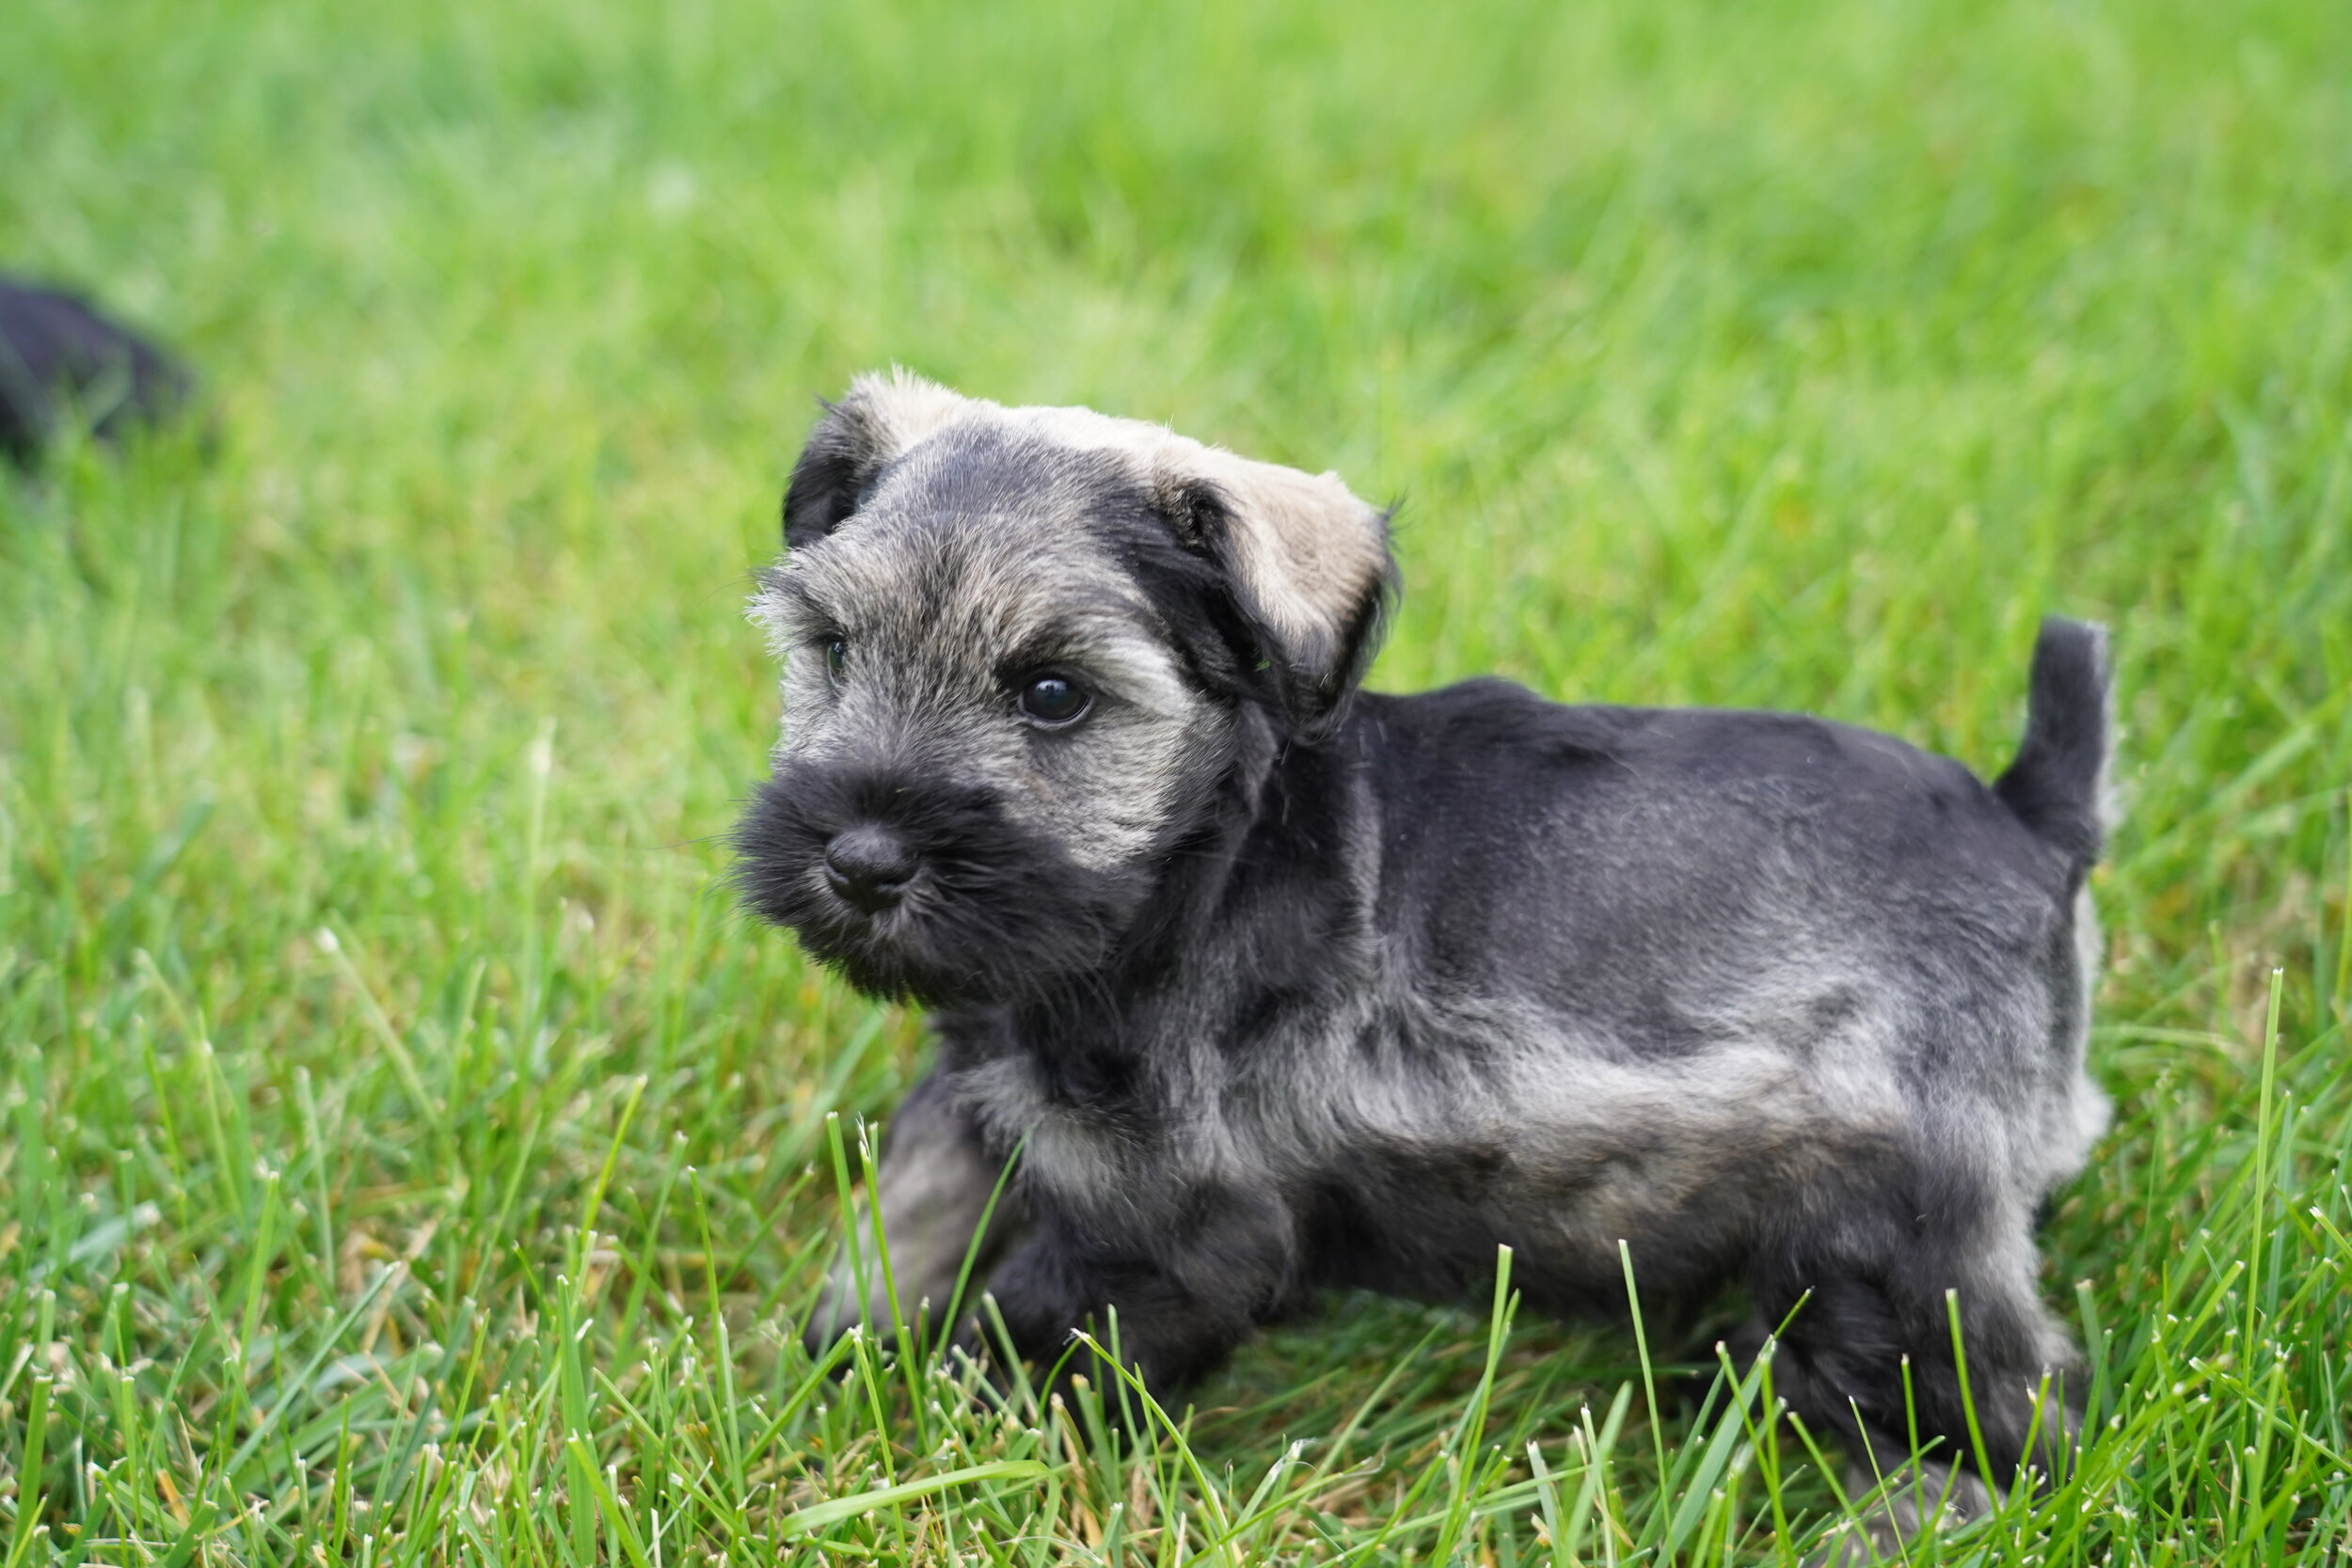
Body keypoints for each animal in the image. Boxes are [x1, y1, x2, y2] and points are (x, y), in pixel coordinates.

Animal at [734, 371, 2117, 1560]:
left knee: (2021, 1422)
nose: (860, 859)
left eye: (1056, 692)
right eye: (834, 646)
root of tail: (2033, 820)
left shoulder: (1170, 1227)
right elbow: (906, 1222)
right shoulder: (984, 1098)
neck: (1201, 863)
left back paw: (1897, 1512)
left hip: (1904, 1239)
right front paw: (836, 1361)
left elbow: (1027, 1333)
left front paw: (956, 1435)